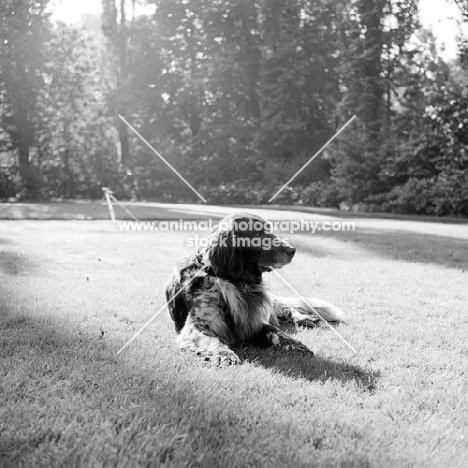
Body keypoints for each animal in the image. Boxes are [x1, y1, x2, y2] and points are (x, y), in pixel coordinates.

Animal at [165, 213, 344, 366]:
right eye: (258, 234)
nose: (292, 250)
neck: (237, 282)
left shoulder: (255, 320)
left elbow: (275, 331)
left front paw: (295, 344)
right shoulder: (197, 326)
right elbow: (214, 341)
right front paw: (225, 354)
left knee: (286, 309)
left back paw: (305, 318)